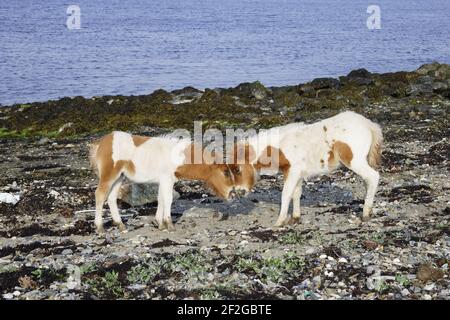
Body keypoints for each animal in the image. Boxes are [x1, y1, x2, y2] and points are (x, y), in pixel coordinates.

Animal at [89, 131, 234, 234]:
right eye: (225, 172)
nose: (232, 195)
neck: (177, 156)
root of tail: (101, 143)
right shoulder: (167, 180)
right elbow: (168, 199)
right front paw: (169, 225)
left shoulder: (163, 181)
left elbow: (161, 199)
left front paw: (160, 224)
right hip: (109, 175)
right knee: (100, 195)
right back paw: (100, 228)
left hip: (119, 177)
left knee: (111, 198)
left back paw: (121, 225)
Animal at [229, 111, 384, 226]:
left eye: (237, 169)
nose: (238, 192)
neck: (281, 146)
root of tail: (368, 124)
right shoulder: (297, 173)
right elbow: (296, 193)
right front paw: (295, 218)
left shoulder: (293, 171)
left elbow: (286, 194)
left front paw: (279, 222)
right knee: (367, 180)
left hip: (354, 161)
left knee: (373, 177)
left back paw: (365, 214)